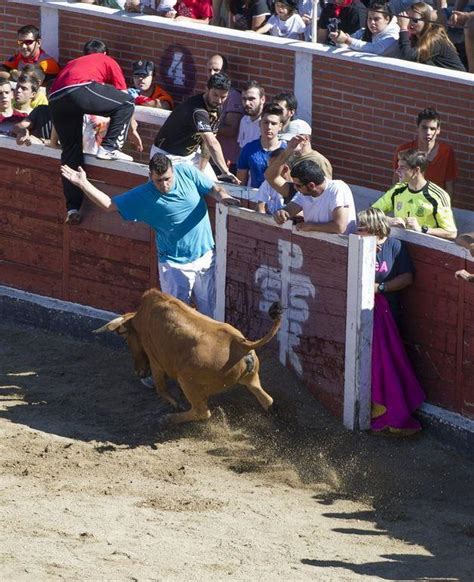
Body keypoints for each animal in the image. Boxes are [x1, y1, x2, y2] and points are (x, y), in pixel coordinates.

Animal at [95, 290, 282, 424]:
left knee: (202, 412)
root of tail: (242, 344)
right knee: (268, 400)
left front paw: (175, 404)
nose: (139, 373)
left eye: (126, 339)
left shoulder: (155, 361)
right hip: (251, 379)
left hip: (187, 381)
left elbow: (161, 389)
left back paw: (169, 418)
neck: (140, 319)